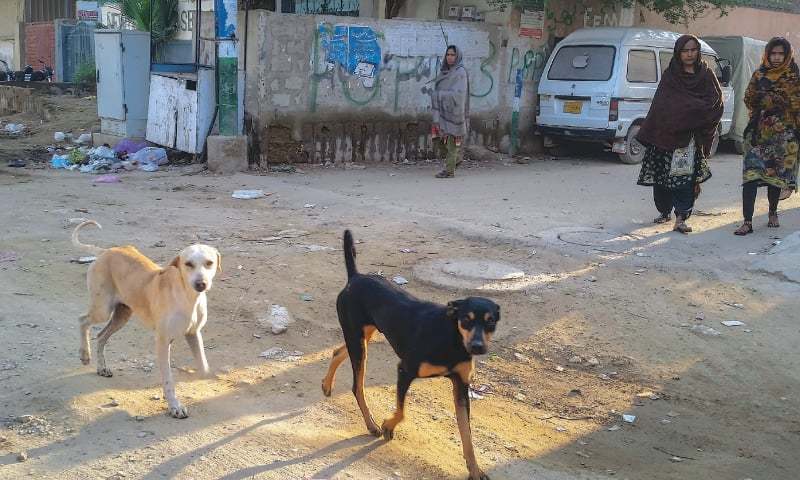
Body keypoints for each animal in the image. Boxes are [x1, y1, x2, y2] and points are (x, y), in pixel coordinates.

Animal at [72, 220, 222, 416]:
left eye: (209, 263)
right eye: (188, 264)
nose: (201, 284)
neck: (187, 297)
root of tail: (105, 251)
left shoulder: (193, 334)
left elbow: (203, 368)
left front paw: (194, 375)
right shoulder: (163, 341)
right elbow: (168, 378)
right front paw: (174, 406)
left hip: (122, 315)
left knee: (101, 336)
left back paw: (102, 368)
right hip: (103, 309)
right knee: (82, 320)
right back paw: (84, 355)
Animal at [320, 230, 500, 480]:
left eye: (491, 322)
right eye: (466, 319)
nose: (477, 347)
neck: (452, 338)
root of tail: (355, 277)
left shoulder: (461, 386)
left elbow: (467, 434)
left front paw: (474, 469)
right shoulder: (405, 370)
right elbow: (402, 412)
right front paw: (388, 426)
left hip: (363, 335)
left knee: (338, 350)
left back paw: (327, 385)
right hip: (358, 342)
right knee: (357, 387)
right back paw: (372, 424)